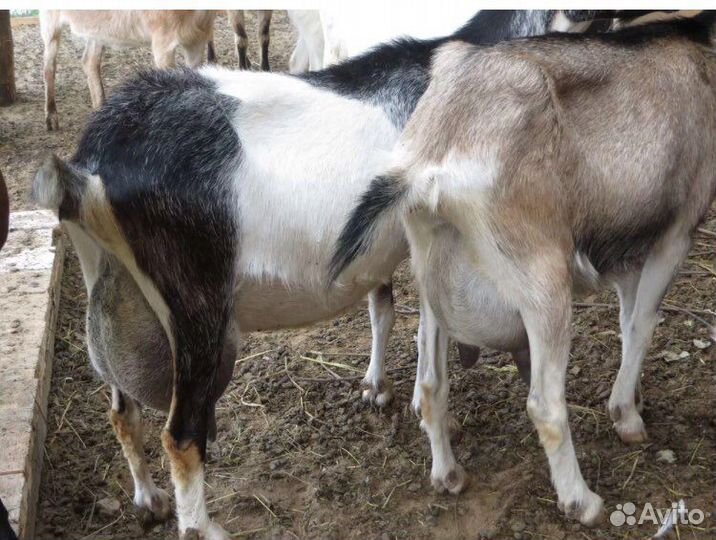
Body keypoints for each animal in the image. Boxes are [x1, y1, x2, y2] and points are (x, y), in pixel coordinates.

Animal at [40, 10, 217, 130]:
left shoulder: (196, 39)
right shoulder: (163, 39)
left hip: (97, 30)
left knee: (89, 61)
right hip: (49, 20)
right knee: (49, 64)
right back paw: (51, 117)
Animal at [331, 11, 716, 526]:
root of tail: (432, 157)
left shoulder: (630, 247)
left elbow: (627, 320)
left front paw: (633, 398)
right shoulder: (675, 234)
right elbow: (641, 327)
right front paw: (626, 417)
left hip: (432, 272)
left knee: (431, 383)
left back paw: (448, 475)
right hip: (543, 282)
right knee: (545, 406)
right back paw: (581, 501)